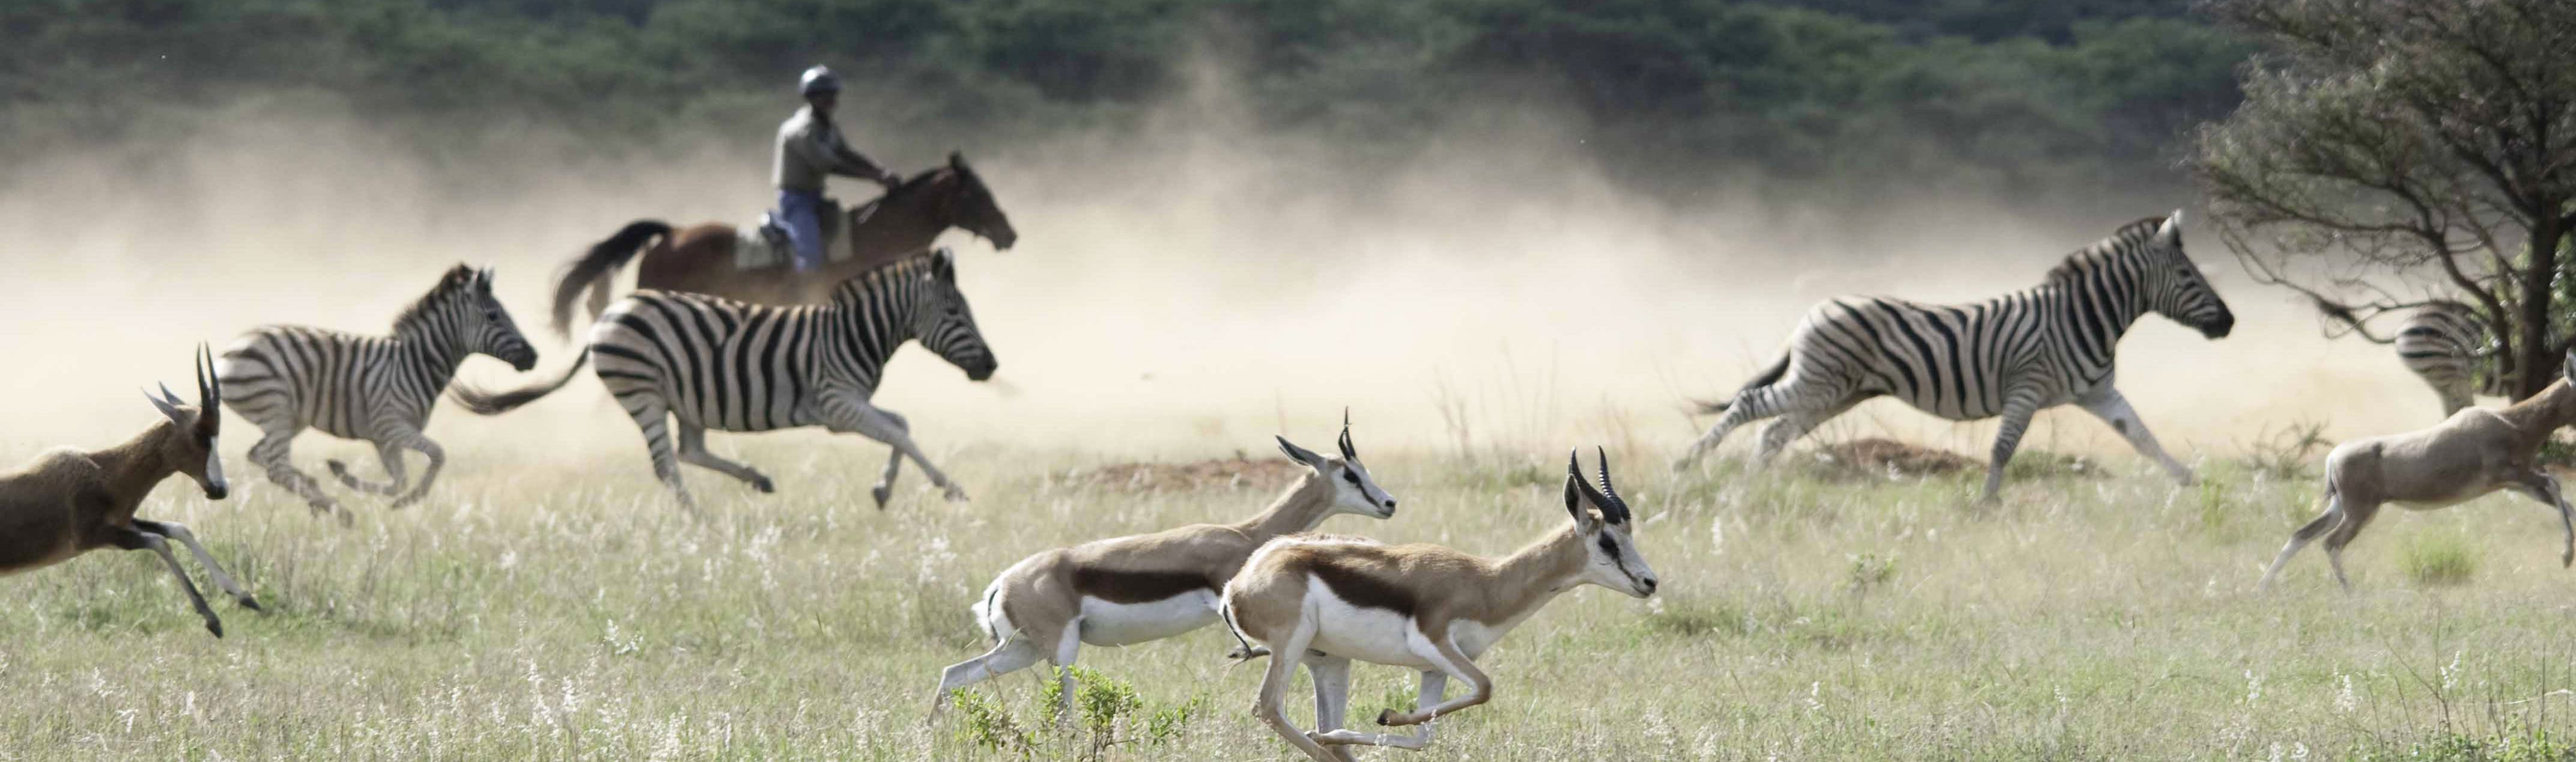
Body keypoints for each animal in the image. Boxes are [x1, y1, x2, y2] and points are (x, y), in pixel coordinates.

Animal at [217, 265, 543, 520]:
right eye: (493, 316)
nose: (534, 357)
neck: (414, 364)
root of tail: (226, 353)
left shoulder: (384, 440)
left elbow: (399, 480)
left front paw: (347, 477)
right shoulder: (392, 426)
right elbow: (437, 455)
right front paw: (407, 501)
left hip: (290, 418)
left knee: (260, 456)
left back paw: (316, 491)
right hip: (277, 410)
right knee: (276, 467)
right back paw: (339, 511)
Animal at [453, 249, 994, 512]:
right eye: (955, 312)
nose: (991, 367)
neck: (852, 333)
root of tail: (609, 314)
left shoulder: (847, 406)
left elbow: (899, 425)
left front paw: (884, 490)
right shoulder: (837, 403)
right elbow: (902, 434)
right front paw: (951, 489)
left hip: (684, 398)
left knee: (691, 450)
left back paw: (756, 478)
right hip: (643, 392)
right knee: (668, 465)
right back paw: (698, 520)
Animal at [1669, 211, 2235, 502]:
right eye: (2188, 276)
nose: (2229, 323)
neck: (2085, 316)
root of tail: (1815, 308)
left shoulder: (2099, 392)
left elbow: (2142, 436)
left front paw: (2190, 483)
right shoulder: (2027, 386)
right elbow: (2004, 449)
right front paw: (1987, 505)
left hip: (1836, 393)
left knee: (1773, 431)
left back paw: (1747, 489)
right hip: (1820, 382)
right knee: (1749, 405)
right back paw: (1686, 465)